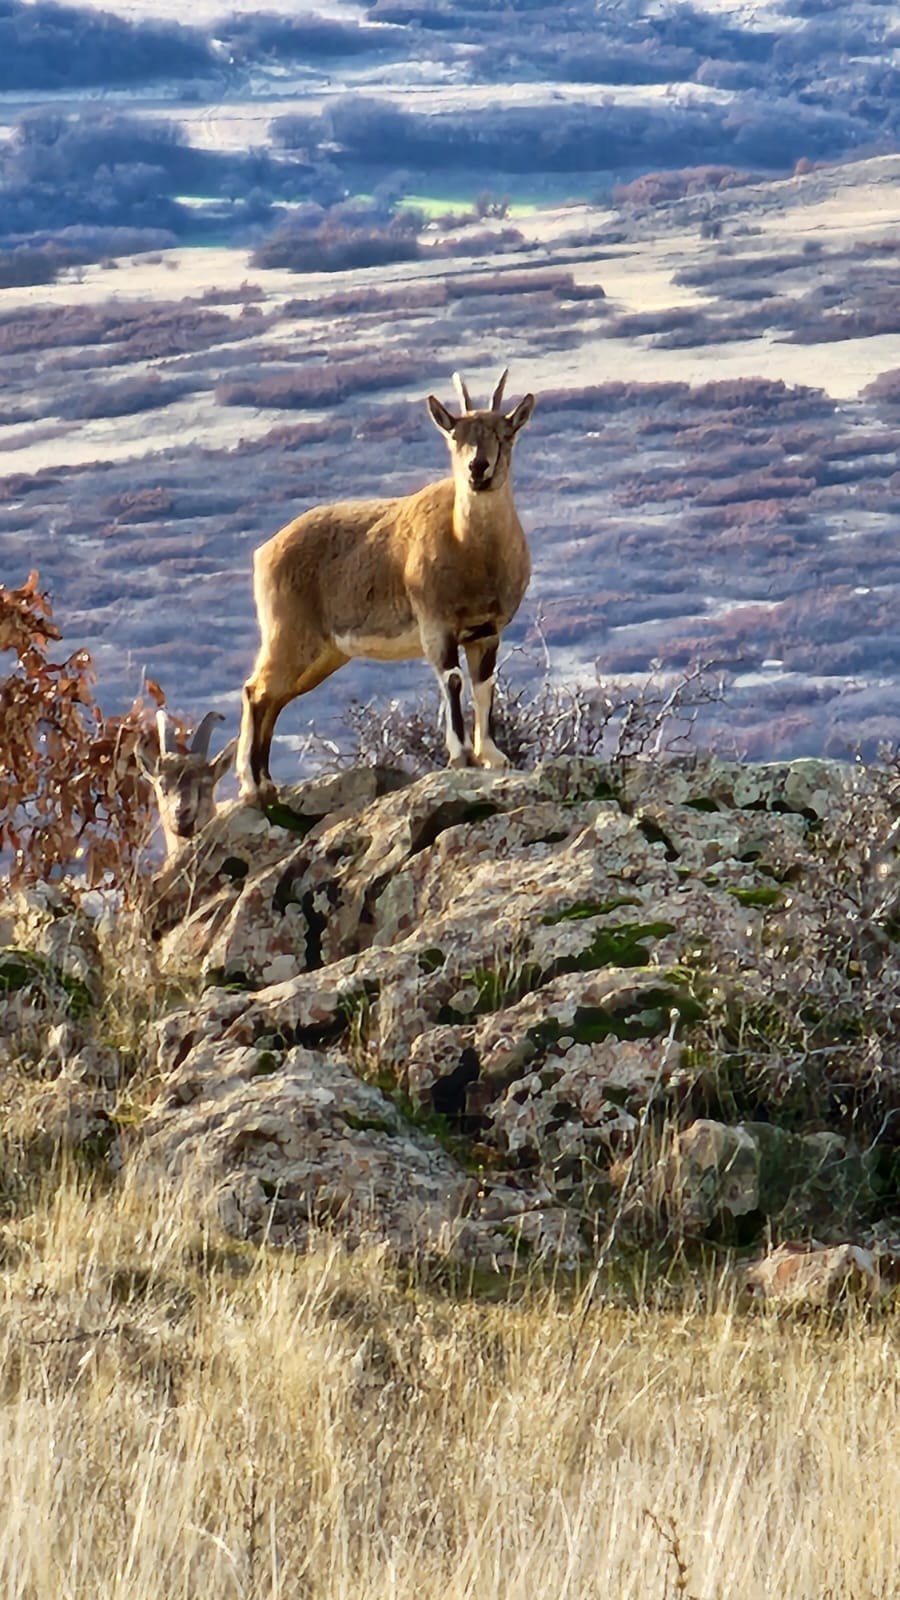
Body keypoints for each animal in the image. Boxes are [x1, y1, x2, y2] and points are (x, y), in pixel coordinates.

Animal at [235, 369, 534, 806]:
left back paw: (268, 782)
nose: (478, 468)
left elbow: (484, 686)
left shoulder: (486, 631)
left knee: (275, 698)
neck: (471, 550)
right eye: (455, 436)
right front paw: (460, 755)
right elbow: (453, 679)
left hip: (323, 654)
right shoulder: (436, 625)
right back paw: (252, 785)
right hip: (288, 634)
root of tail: (265, 552)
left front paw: (492, 756)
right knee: (256, 691)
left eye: (504, 433)